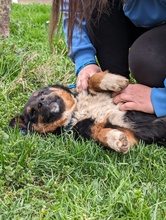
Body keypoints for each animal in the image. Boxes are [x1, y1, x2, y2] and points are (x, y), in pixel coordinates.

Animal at [9, 72, 166, 153]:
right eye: (32, 113)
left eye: (42, 92)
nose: (40, 103)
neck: (76, 112)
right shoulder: (129, 135)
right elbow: (101, 134)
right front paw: (117, 140)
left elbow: (92, 80)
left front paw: (115, 80)